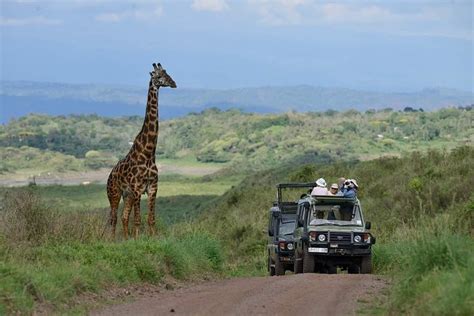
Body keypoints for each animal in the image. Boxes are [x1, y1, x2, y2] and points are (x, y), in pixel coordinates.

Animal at [106, 63, 177, 238]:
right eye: (158, 76)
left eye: (167, 73)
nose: (173, 83)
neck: (149, 153)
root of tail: (109, 175)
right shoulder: (138, 188)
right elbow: (137, 220)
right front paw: (137, 239)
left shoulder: (153, 187)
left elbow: (151, 219)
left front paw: (151, 238)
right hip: (114, 193)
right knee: (113, 219)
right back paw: (111, 240)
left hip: (127, 195)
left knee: (124, 217)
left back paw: (125, 239)